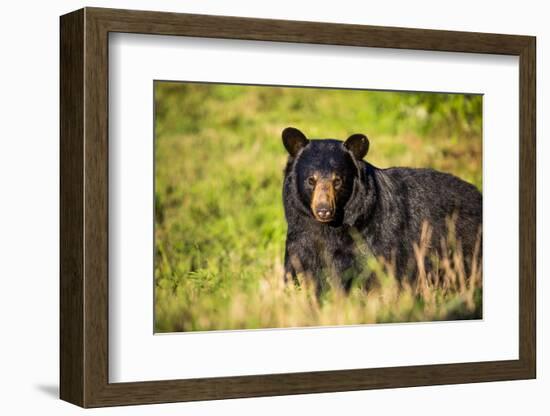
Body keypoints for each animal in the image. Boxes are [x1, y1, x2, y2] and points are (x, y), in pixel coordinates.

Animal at [282, 127, 486, 292]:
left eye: (338, 180)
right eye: (311, 180)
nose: (324, 210)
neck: (331, 227)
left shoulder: (372, 237)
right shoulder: (300, 235)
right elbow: (297, 267)